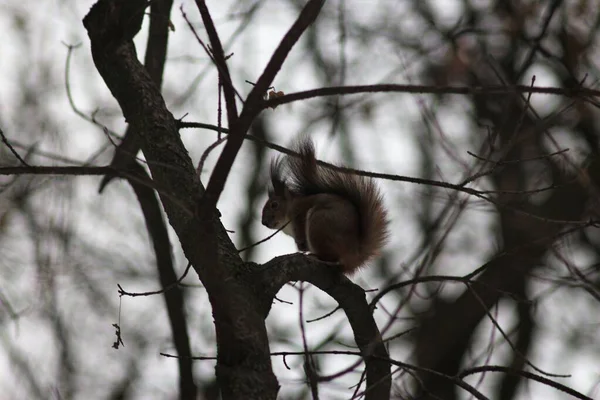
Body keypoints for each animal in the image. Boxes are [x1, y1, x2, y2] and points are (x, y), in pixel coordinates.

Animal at [262, 138, 390, 276]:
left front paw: (301, 245)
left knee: (331, 257)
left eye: (274, 205)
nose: (264, 222)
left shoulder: (300, 212)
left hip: (319, 223)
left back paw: (316, 257)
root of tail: (354, 256)